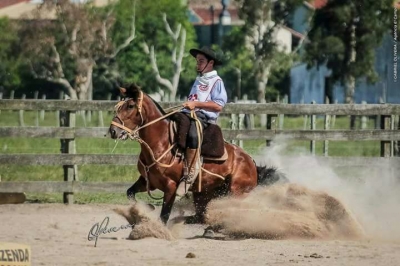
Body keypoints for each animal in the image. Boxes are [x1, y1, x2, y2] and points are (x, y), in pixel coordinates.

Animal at [108, 84, 286, 225]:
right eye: (119, 105)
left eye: (130, 106)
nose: (113, 130)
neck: (161, 142)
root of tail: (252, 163)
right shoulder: (147, 181)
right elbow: (130, 193)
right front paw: (145, 209)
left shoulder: (171, 187)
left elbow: (164, 215)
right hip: (204, 193)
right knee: (201, 216)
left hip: (236, 192)